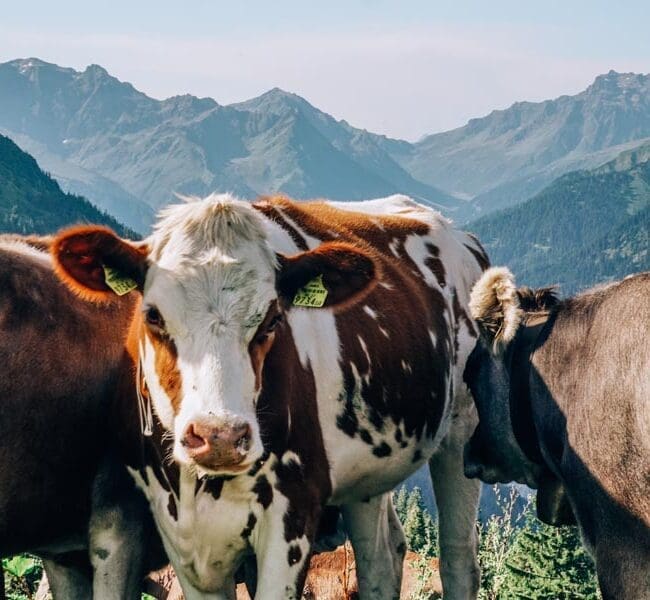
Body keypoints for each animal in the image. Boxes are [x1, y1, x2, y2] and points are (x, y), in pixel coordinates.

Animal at [51, 193, 489, 600]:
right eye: (153, 315)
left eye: (273, 318)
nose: (220, 437)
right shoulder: (179, 531)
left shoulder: (292, 513)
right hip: (368, 471)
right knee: (381, 556)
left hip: (463, 431)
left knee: (458, 558)